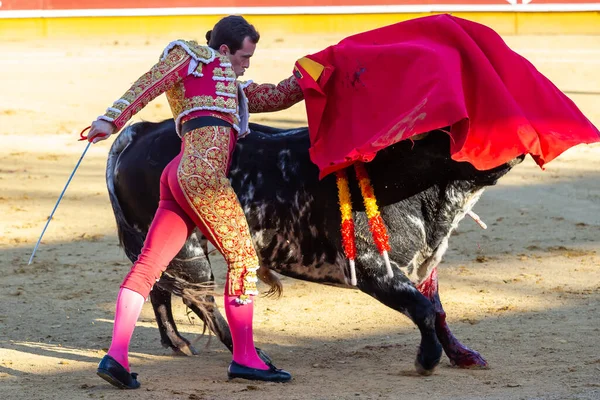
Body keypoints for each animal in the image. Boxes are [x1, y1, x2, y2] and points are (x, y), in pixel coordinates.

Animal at [105, 119, 524, 376]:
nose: (519, 142)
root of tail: (143, 131)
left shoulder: (422, 265)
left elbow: (437, 311)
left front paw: (464, 356)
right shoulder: (374, 269)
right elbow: (423, 309)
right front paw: (427, 359)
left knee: (156, 287)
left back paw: (178, 342)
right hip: (187, 250)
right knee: (198, 298)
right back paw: (256, 359)